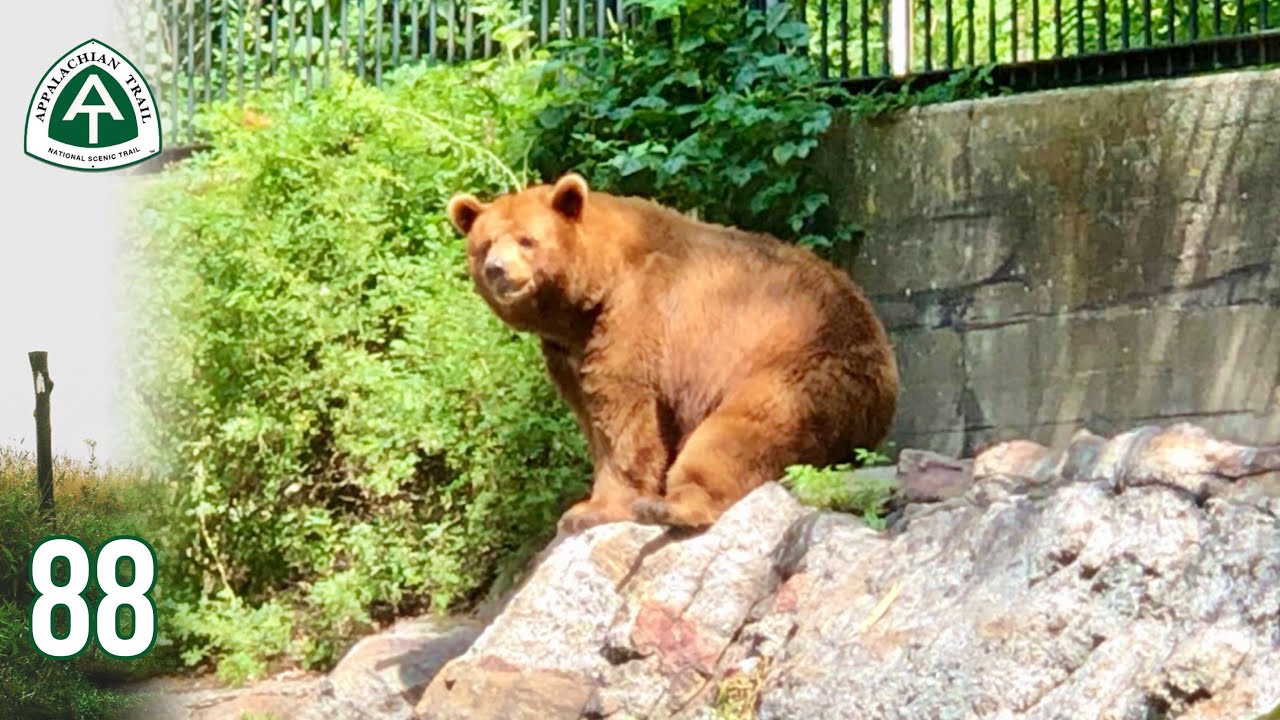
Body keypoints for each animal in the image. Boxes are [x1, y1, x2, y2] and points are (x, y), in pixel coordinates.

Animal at [446, 172, 899, 533]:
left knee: (739, 432)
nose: (497, 269)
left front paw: (592, 509)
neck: (590, 295)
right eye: (484, 244)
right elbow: (589, 414)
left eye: (527, 240)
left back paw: (672, 506)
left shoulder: (640, 313)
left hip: (799, 371)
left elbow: (626, 415)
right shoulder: (567, 351)